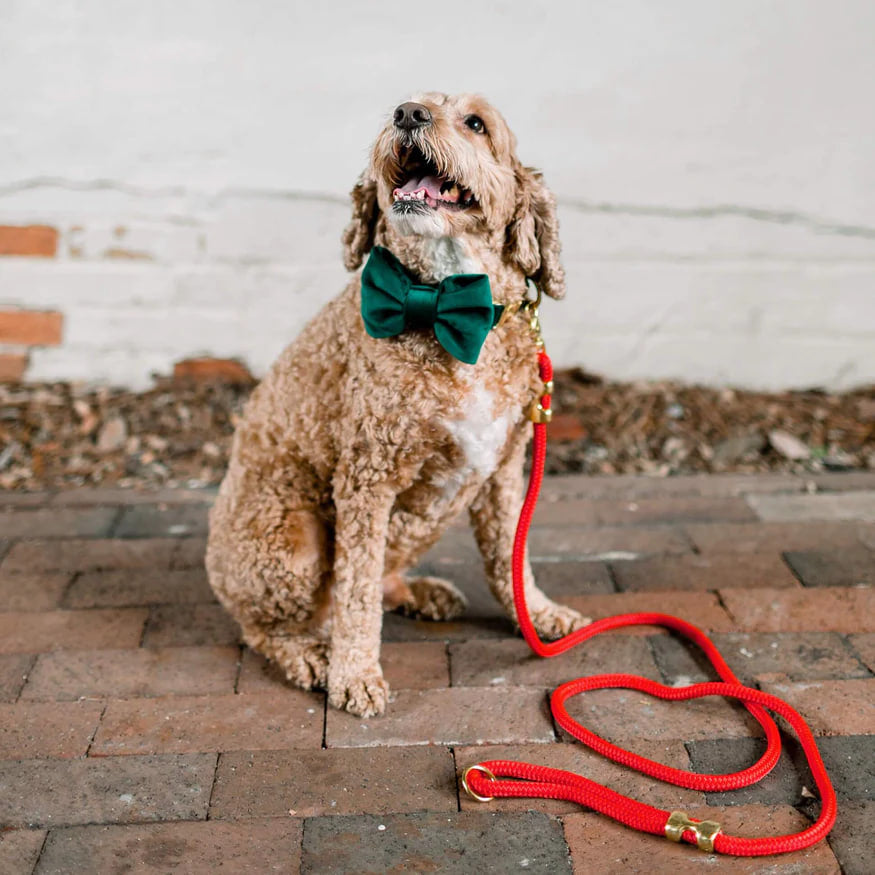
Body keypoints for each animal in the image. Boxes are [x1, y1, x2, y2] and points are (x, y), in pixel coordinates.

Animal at [205, 92, 588, 716]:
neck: (441, 300)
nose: (407, 114)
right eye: (405, 106)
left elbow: (510, 553)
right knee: (268, 625)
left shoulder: (505, 471)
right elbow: (357, 593)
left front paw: (538, 613)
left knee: (376, 578)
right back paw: (310, 653)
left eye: (476, 123)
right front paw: (355, 675)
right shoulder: (367, 479)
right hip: (289, 542)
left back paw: (419, 592)